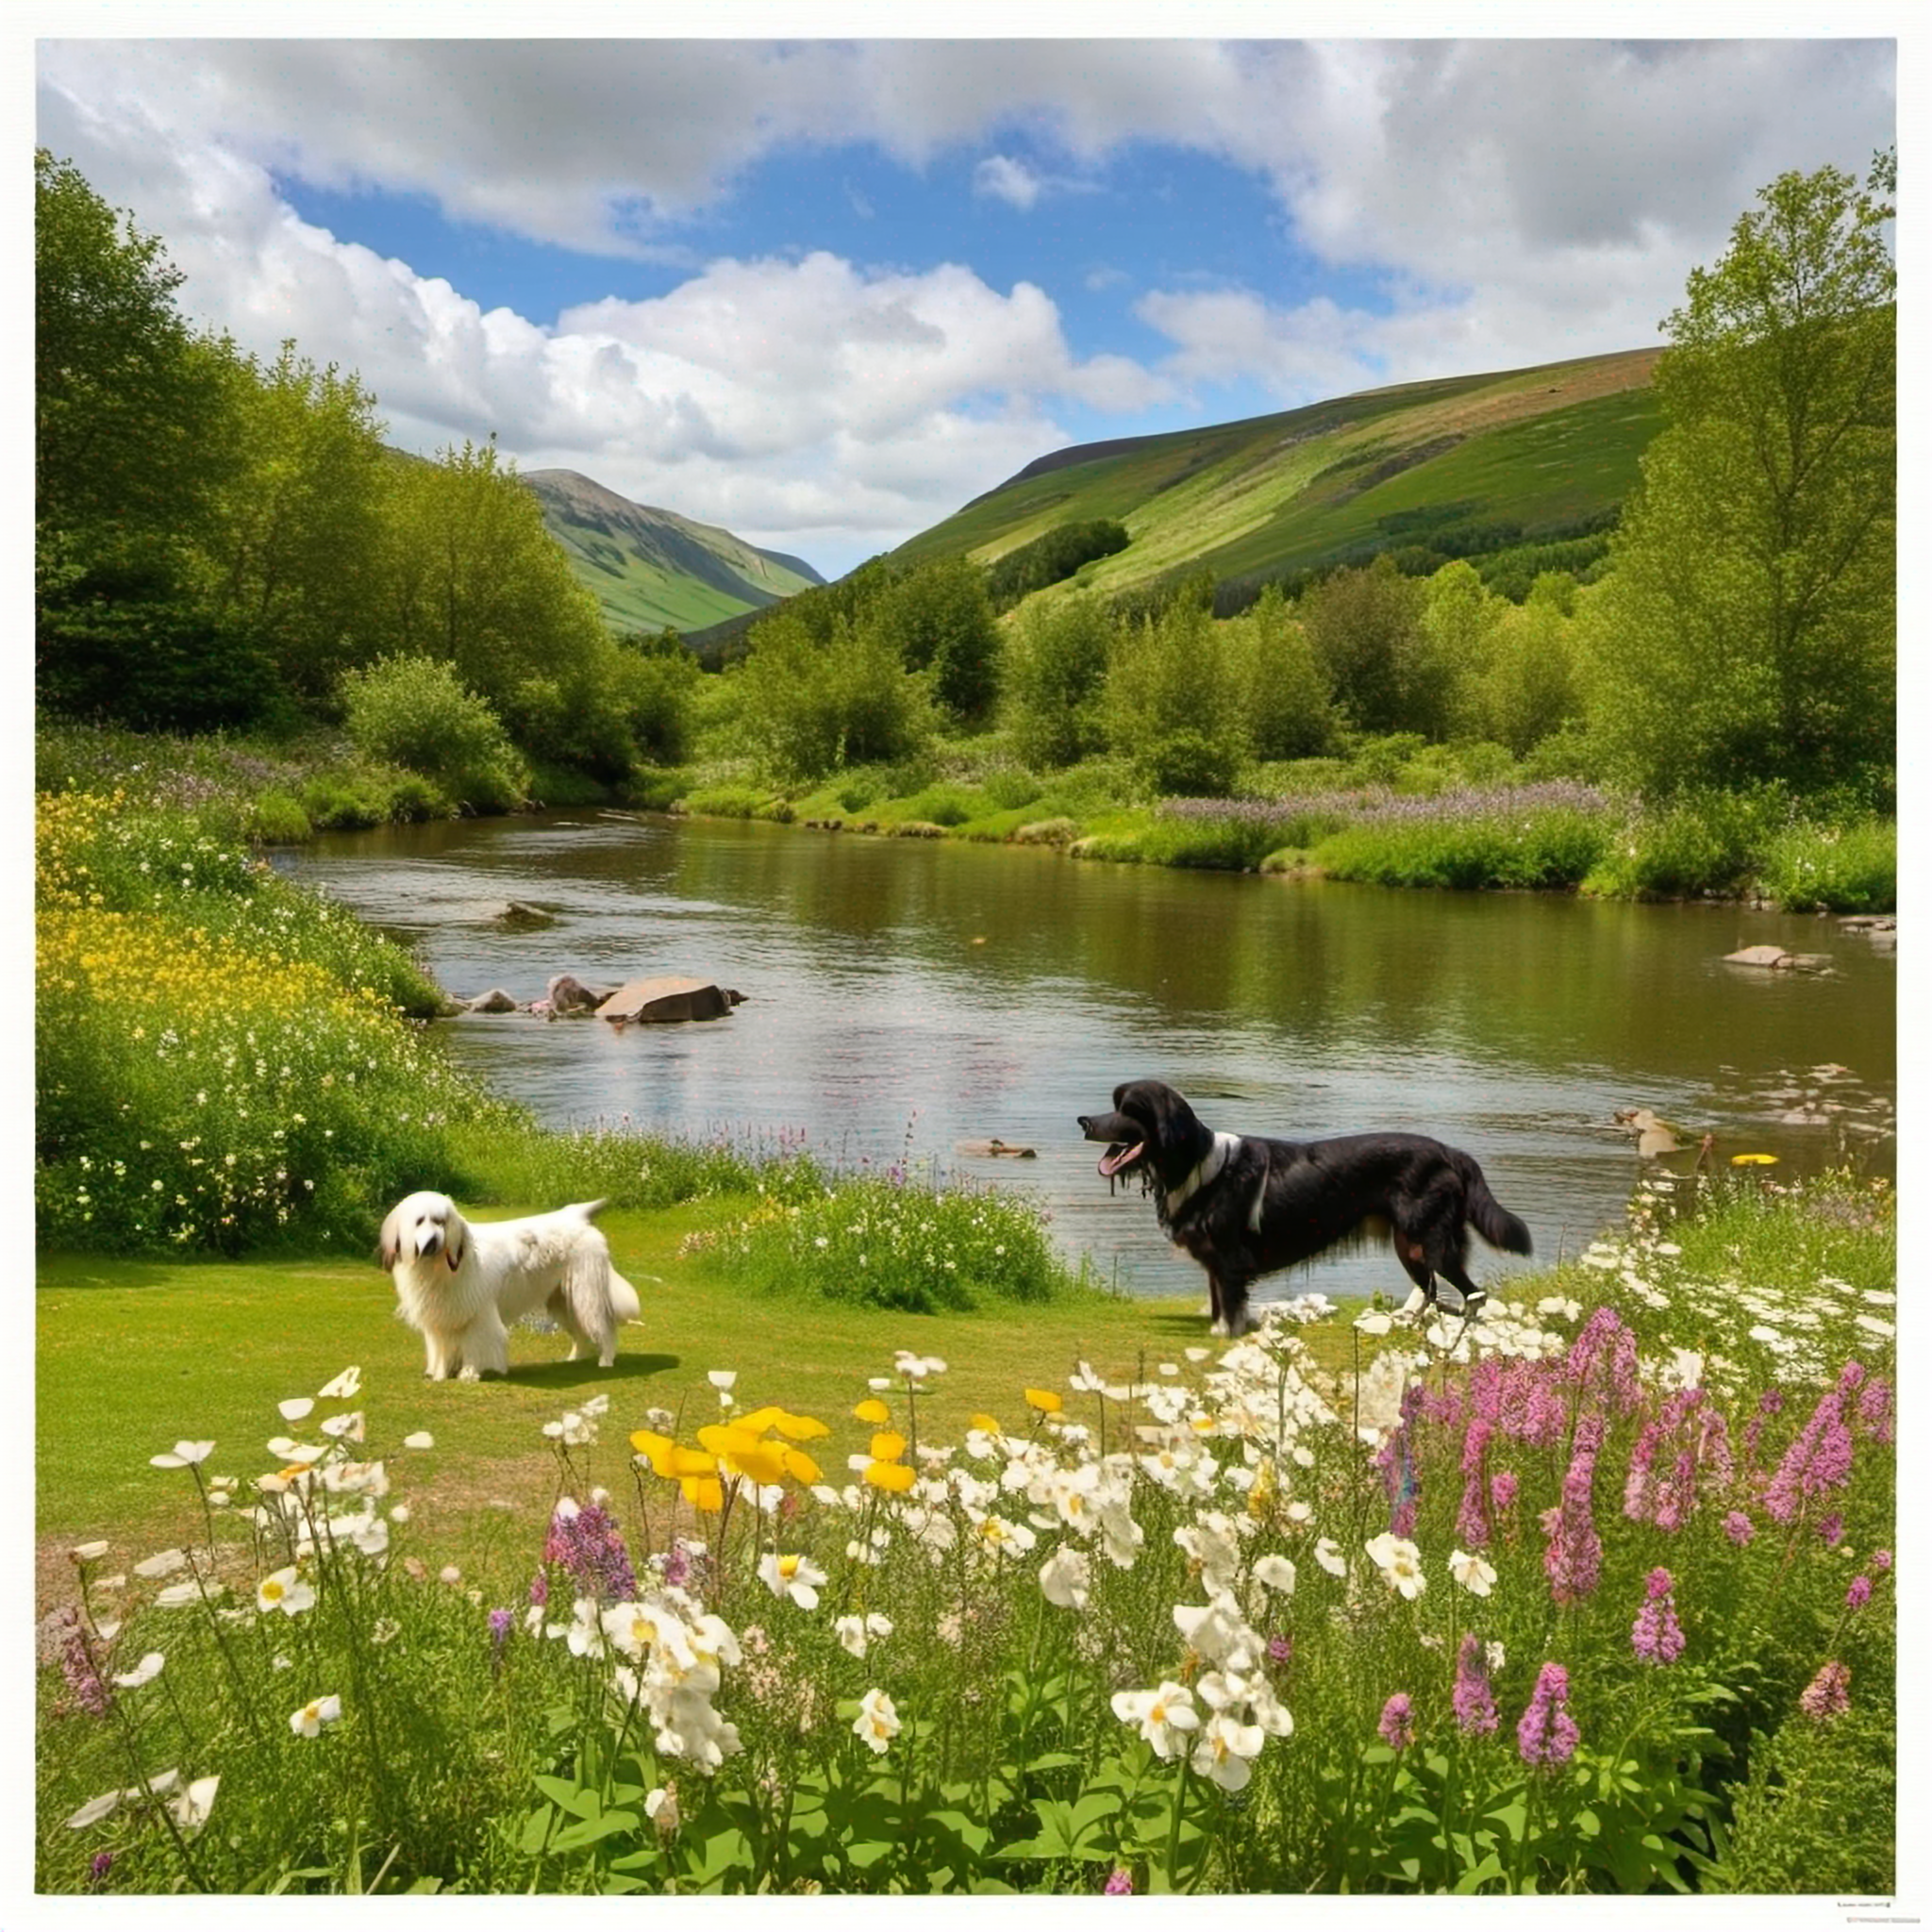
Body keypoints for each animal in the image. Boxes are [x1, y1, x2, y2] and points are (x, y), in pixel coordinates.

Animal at [376, 1182, 641, 1383]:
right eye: (420, 1221)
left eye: (440, 1221)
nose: (432, 1242)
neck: (440, 1267)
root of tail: (576, 1216)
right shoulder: (441, 1318)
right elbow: (440, 1349)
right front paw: (440, 1374)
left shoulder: (478, 1316)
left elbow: (473, 1346)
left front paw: (468, 1374)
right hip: (562, 1300)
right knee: (580, 1334)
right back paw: (574, 1359)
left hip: (585, 1292)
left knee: (604, 1327)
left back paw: (606, 1360)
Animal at [1081, 1081, 1530, 1337]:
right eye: (1114, 1106)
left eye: (1128, 1110)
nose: (1085, 1121)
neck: (1197, 1164)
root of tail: (1452, 1152)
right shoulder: (1214, 1262)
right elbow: (1218, 1302)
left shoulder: (1229, 1258)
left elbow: (1230, 1306)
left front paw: (1227, 1336)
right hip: (1411, 1245)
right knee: (1434, 1291)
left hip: (1431, 1241)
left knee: (1471, 1294)